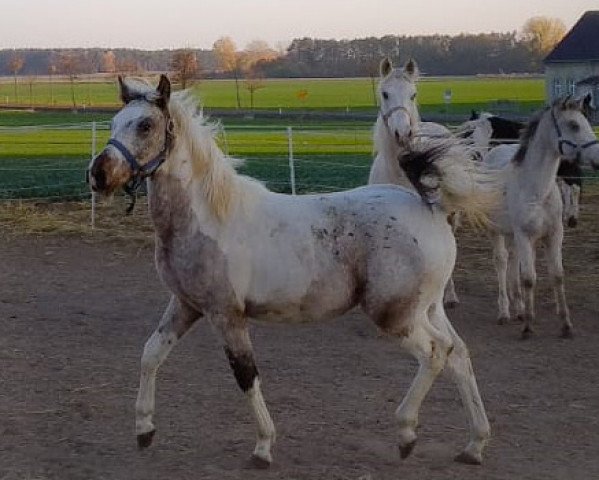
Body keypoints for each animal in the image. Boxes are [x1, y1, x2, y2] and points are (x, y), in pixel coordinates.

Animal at [482, 96, 599, 338]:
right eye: (573, 125)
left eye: (586, 120)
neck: (537, 189)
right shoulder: (524, 235)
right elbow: (529, 278)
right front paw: (528, 327)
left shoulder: (554, 234)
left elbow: (557, 275)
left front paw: (566, 325)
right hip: (496, 230)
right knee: (501, 261)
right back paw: (504, 312)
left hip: (513, 234)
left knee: (513, 260)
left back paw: (518, 308)